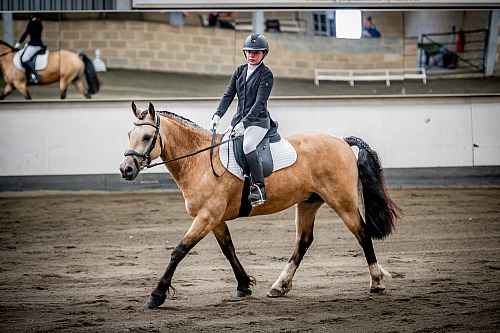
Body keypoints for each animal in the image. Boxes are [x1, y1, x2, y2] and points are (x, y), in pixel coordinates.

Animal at [118, 102, 402, 308]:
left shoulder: (207, 216)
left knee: (362, 233)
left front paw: (157, 295)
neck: (199, 161)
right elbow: (228, 250)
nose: (126, 169)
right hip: (308, 203)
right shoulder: (215, 219)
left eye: (147, 136)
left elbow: (179, 251)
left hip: (342, 201)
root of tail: (341, 141)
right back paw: (280, 286)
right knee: (303, 242)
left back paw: (376, 282)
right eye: (129, 134)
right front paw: (244, 285)